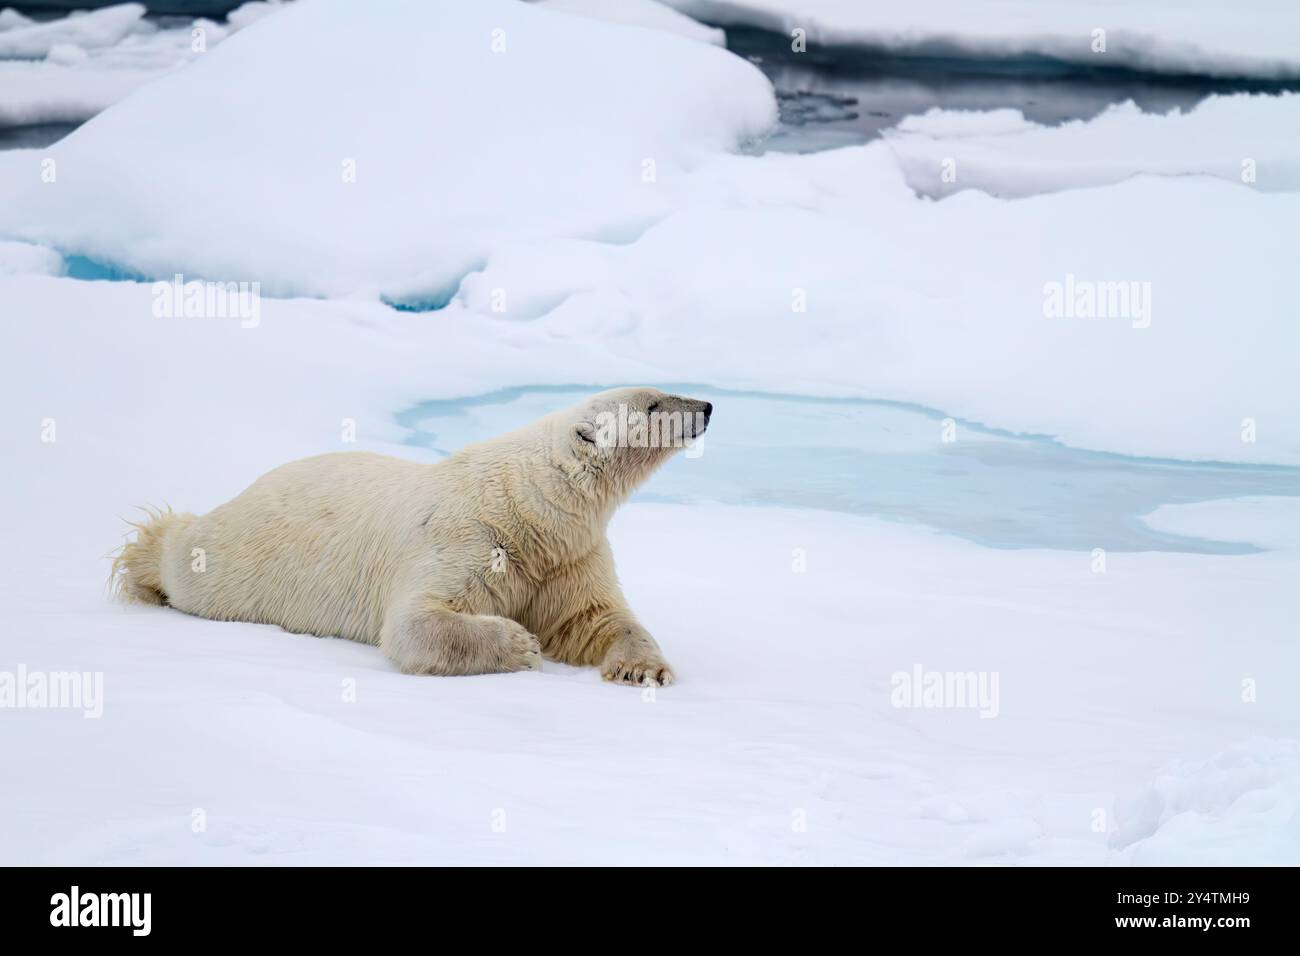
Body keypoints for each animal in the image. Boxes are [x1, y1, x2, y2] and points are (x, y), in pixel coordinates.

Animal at [110, 387, 712, 686]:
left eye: (664, 390)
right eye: (654, 403)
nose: (706, 406)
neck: (531, 507)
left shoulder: (568, 556)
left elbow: (594, 619)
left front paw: (640, 668)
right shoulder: (470, 538)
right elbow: (416, 623)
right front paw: (520, 643)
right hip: (241, 557)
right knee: (187, 558)